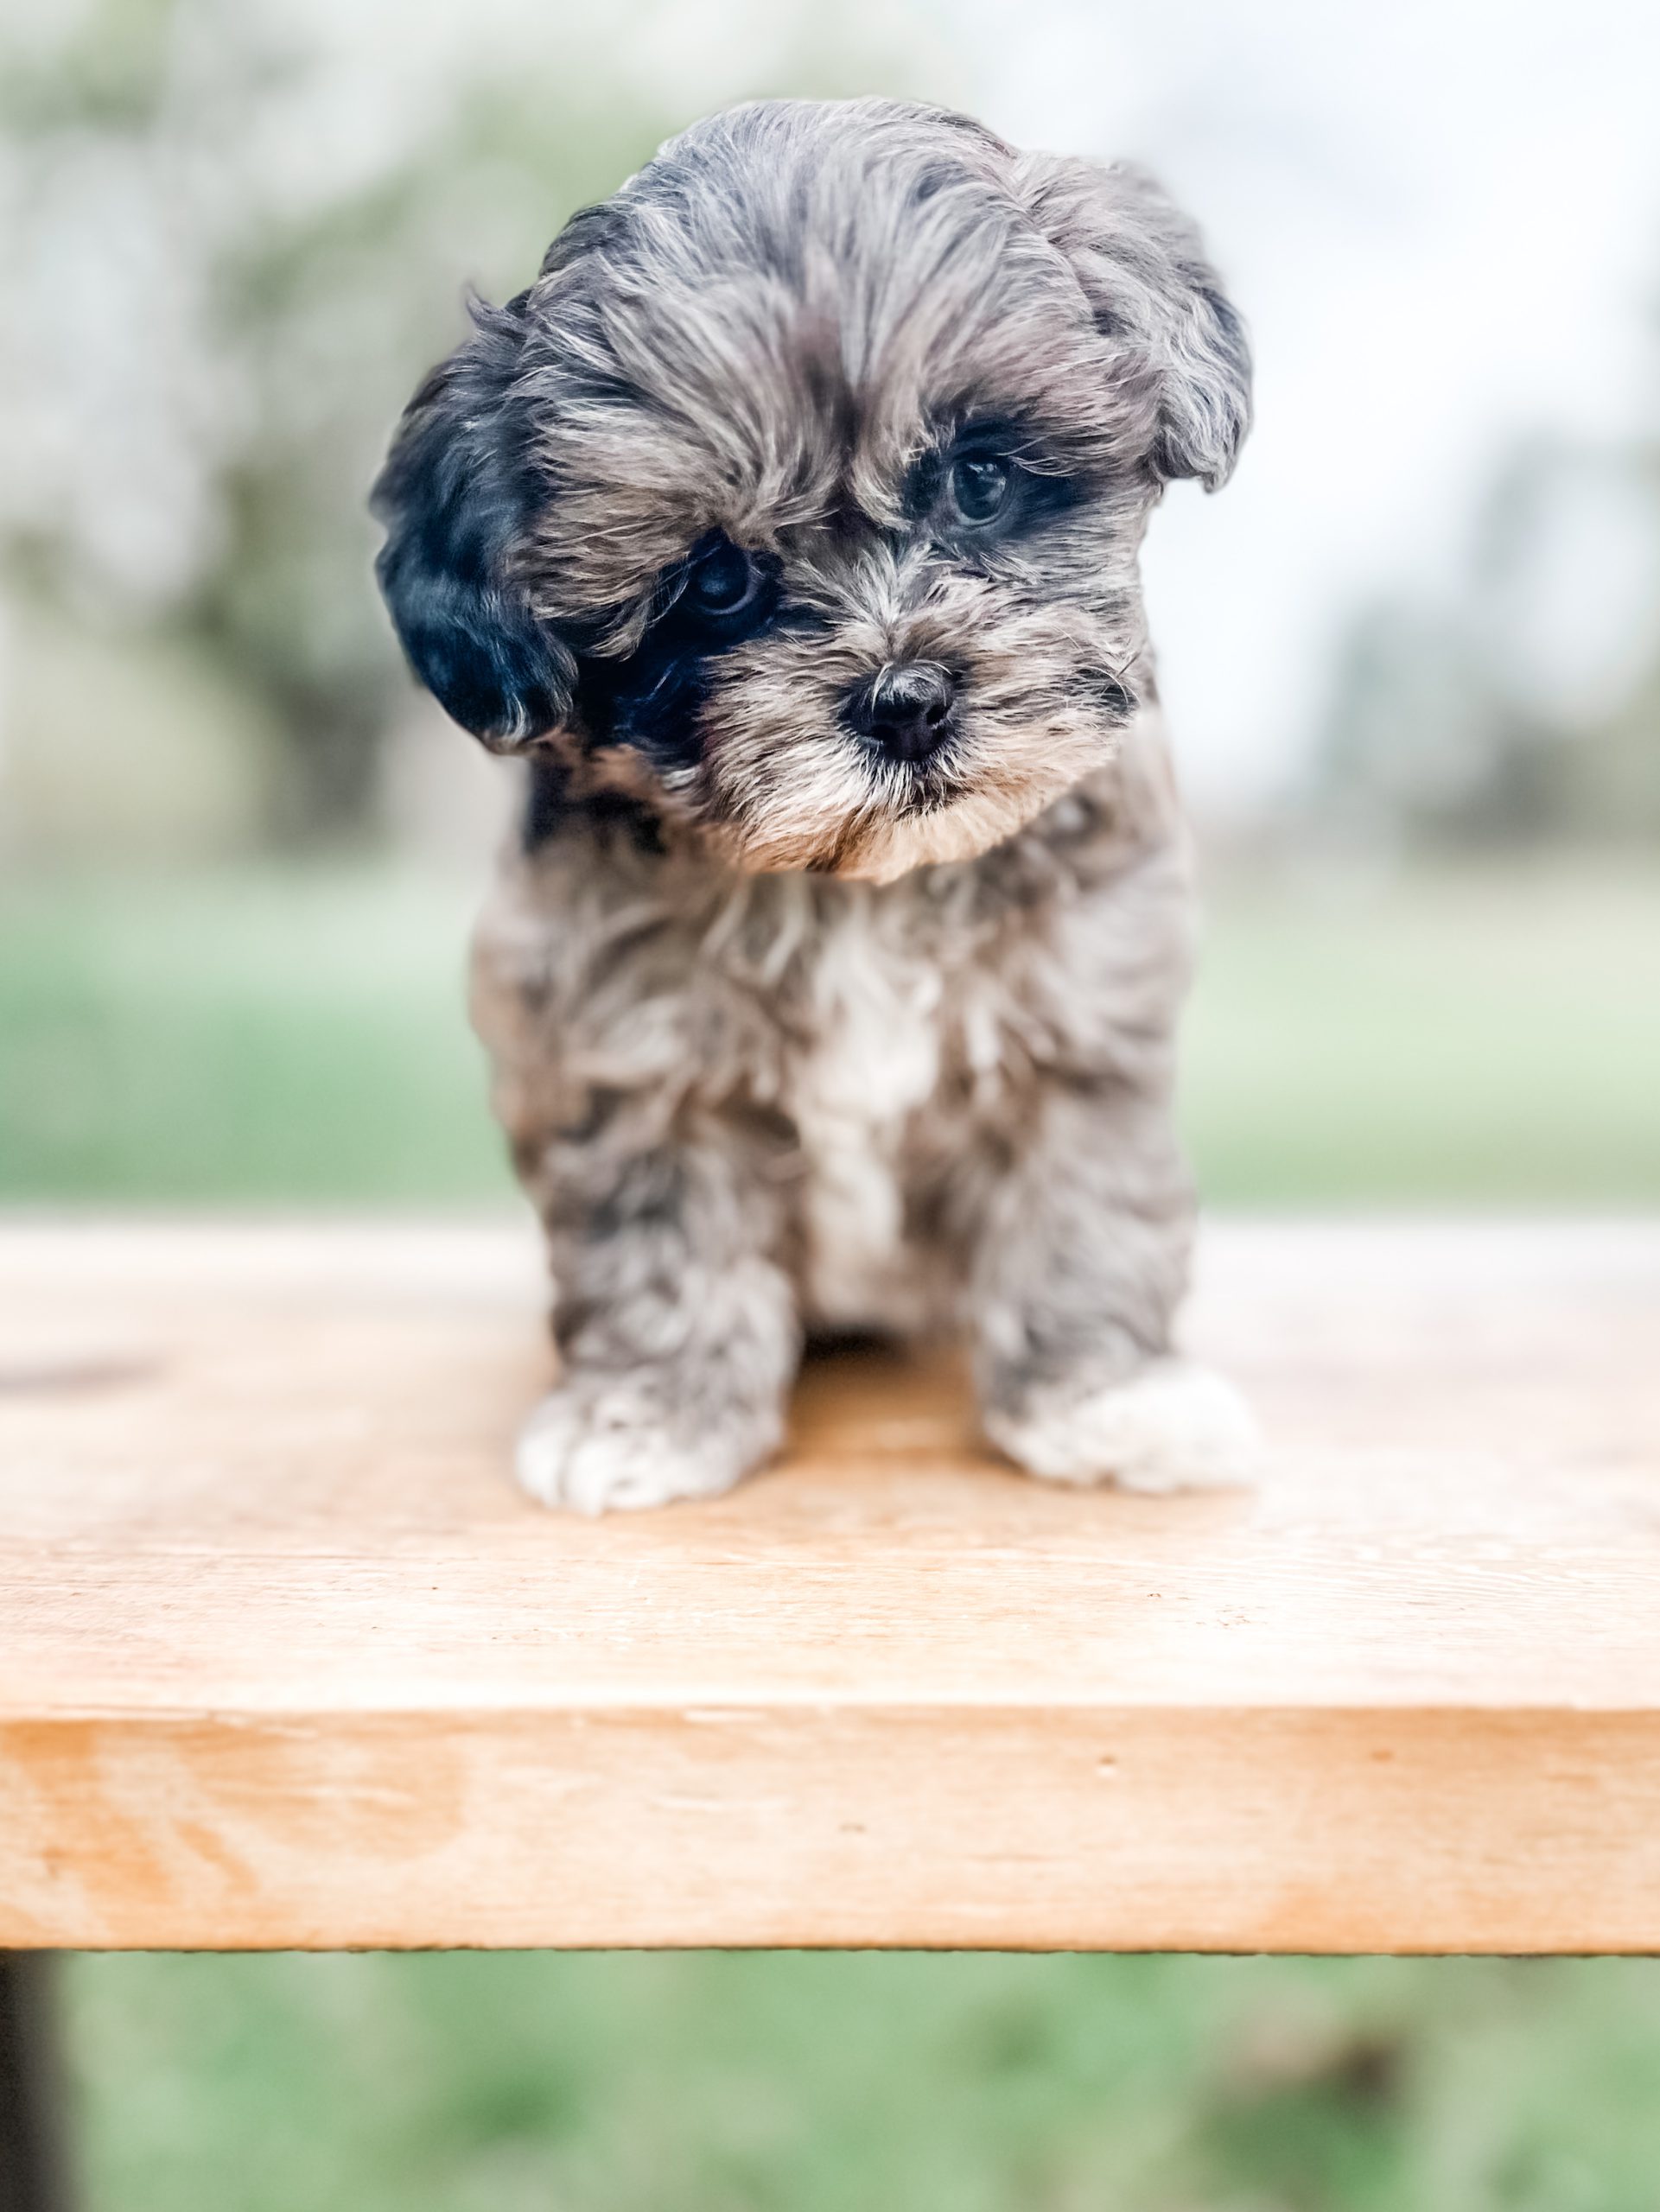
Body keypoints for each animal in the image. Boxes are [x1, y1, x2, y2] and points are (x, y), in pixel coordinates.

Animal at [373, 95, 1256, 1513]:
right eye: (716, 581)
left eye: (980, 480)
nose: (906, 700)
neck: (864, 892)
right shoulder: (630, 1047)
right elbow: (663, 1236)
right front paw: (650, 1414)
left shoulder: (1080, 1023)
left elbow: (1081, 1211)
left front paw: (1109, 1397)